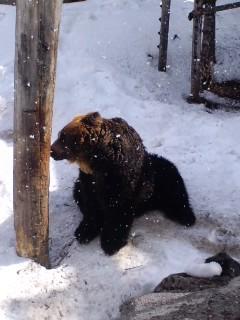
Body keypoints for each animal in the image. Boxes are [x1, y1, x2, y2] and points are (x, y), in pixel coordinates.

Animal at [50, 112, 195, 255]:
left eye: (62, 137)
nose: (51, 151)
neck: (98, 161)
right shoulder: (88, 179)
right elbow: (90, 203)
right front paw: (84, 232)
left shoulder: (121, 178)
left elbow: (118, 209)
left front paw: (111, 243)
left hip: (158, 176)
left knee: (175, 190)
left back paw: (186, 217)